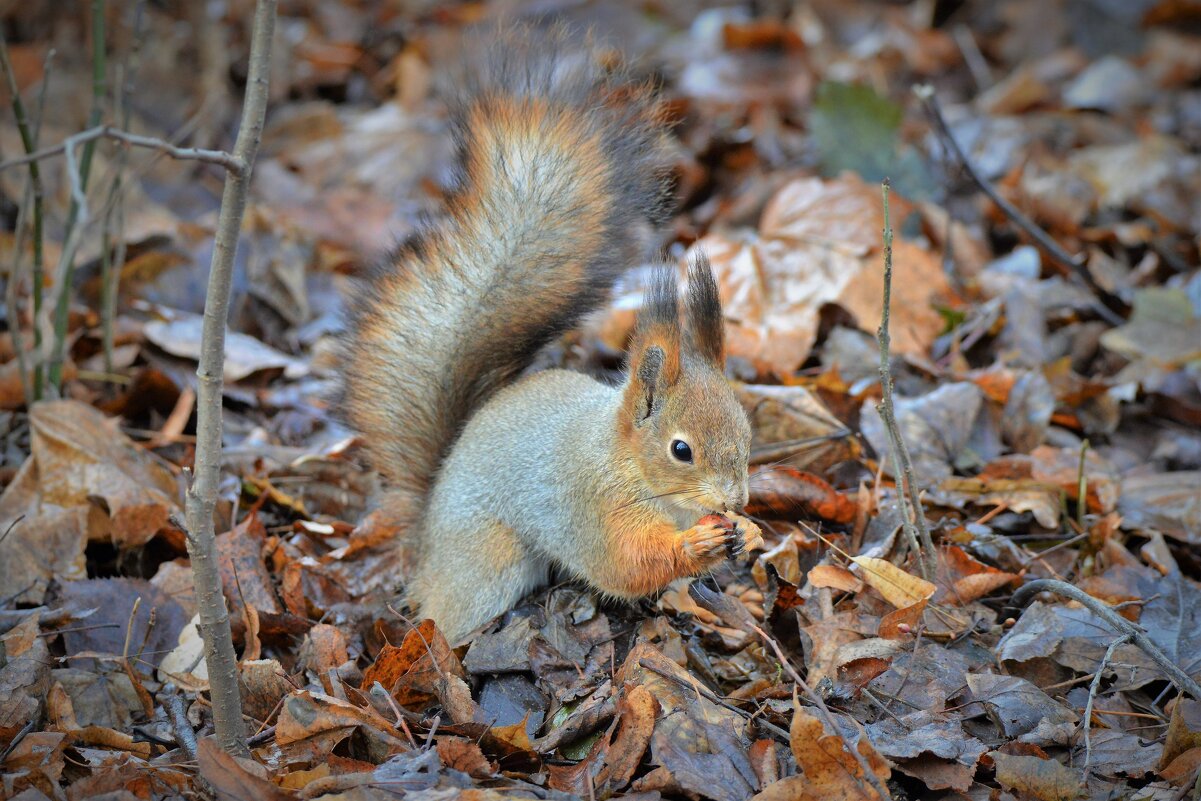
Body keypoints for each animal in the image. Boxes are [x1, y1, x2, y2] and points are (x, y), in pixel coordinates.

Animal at [341, 29, 759, 643]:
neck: (623, 460)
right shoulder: (591, 507)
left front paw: (749, 532)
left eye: (747, 430)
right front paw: (698, 542)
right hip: (487, 561)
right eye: (681, 450)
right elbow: (626, 562)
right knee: (448, 608)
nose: (736, 499)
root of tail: (426, 540)